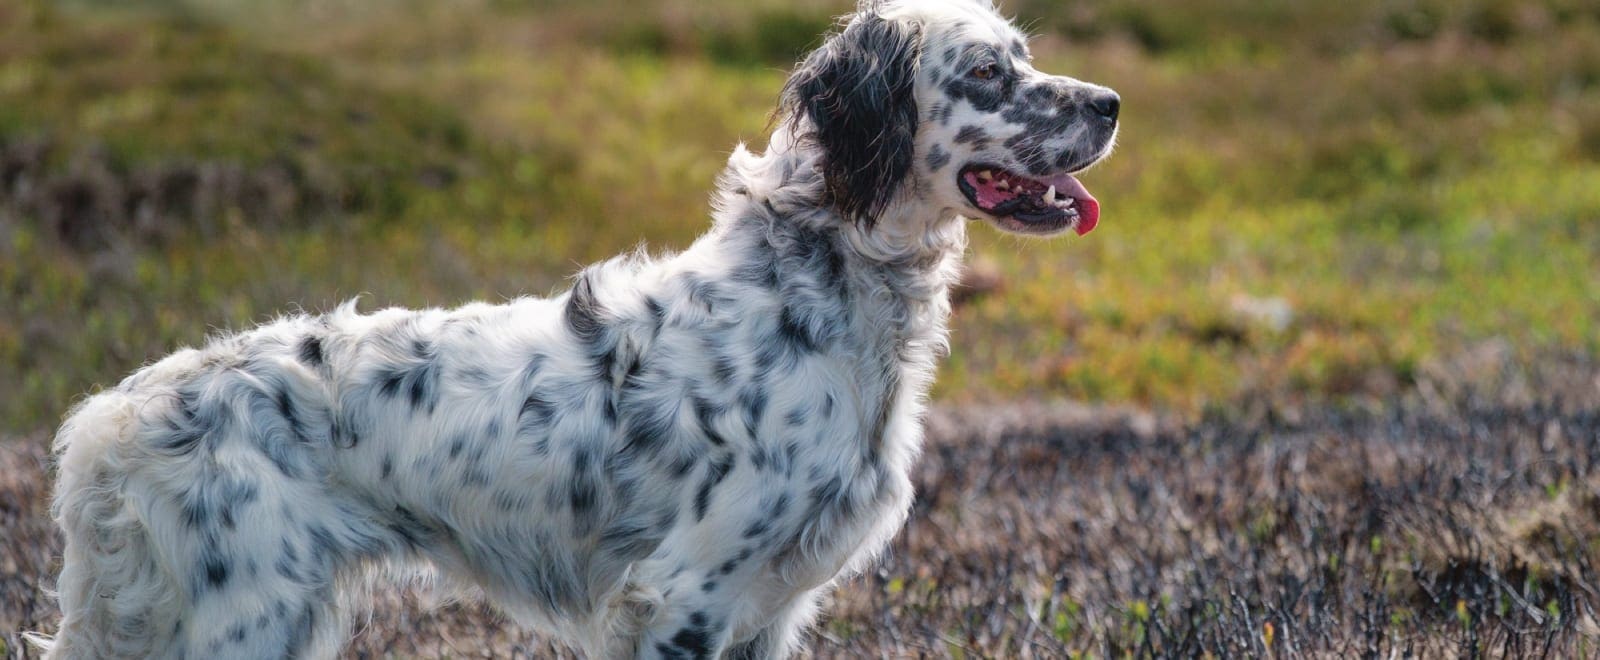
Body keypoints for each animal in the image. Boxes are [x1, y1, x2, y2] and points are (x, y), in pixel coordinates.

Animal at [37, 2, 1113, 656]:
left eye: (1023, 56)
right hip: (247, 617)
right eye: (986, 70)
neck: (816, 286)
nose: (1109, 102)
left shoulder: (769, 609)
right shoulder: (686, 595)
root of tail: (113, 417)